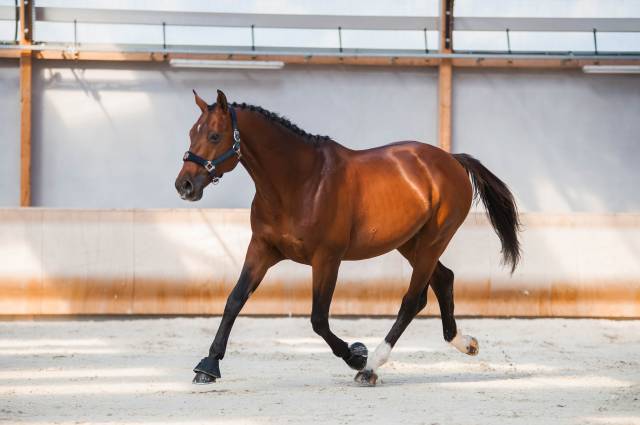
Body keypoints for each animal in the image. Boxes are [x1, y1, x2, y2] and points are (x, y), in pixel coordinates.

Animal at [175, 89, 521, 386]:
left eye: (214, 136)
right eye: (192, 133)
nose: (184, 186)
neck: (300, 182)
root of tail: (451, 159)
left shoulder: (327, 259)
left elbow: (318, 319)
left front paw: (356, 355)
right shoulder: (262, 248)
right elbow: (235, 300)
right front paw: (208, 366)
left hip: (432, 241)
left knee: (412, 300)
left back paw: (371, 367)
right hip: (411, 243)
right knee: (443, 280)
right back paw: (465, 343)